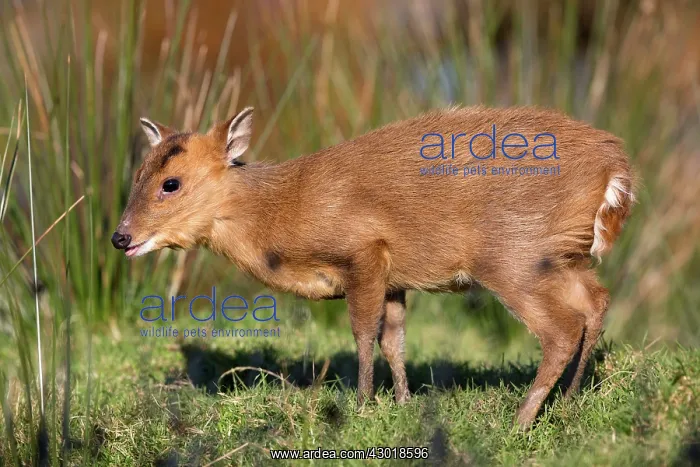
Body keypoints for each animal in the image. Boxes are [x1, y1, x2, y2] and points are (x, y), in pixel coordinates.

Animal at [112, 105, 636, 429]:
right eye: (137, 174)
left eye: (171, 183)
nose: (121, 237)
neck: (282, 213)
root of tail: (616, 166)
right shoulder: (394, 276)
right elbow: (394, 339)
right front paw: (403, 402)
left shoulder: (363, 251)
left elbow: (364, 332)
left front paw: (362, 405)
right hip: (561, 254)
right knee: (596, 302)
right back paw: (567, 403)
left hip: (515, 253)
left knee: (561, 328)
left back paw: (520, 420)